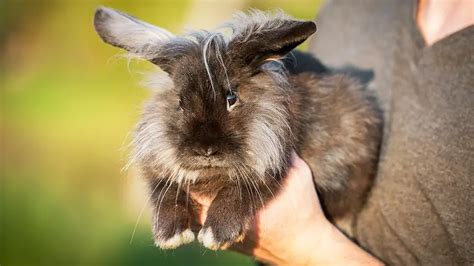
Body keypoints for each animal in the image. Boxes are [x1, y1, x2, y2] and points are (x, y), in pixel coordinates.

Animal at [94, 7, 384, 250]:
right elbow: (166, 192)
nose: (205, 150)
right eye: (180, 102)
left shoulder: (269, 168)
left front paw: (217, 233)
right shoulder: (160, 172)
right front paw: (170, 234)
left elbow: (239, 191)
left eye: (231, 97)